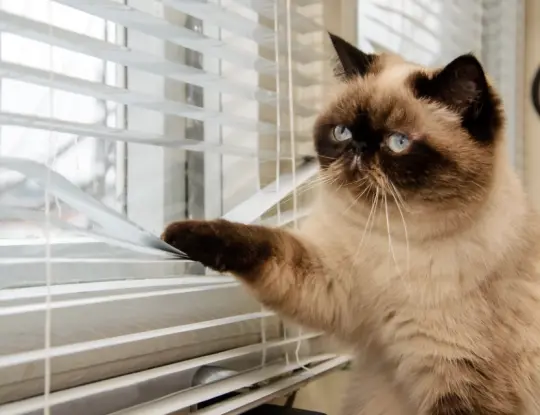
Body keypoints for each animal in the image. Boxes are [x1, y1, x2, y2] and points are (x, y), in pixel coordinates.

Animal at [162, 33, 540, 415]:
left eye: (398, 143)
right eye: (342, 132)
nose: (357, 148)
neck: (392, 237)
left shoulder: (461, 379)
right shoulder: (331, 282)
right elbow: (263, 243)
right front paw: (178, 234)